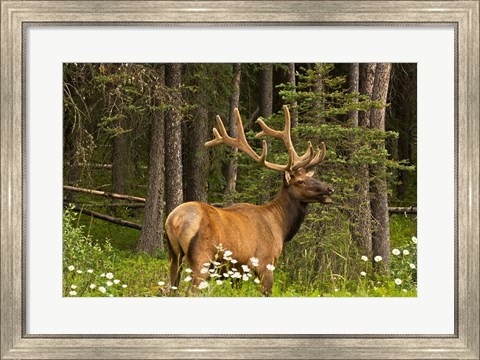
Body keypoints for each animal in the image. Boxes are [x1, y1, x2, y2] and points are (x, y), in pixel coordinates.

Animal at [165, 105, 334, 296]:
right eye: (300, 181)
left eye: (310, 177)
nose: (329, 189)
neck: (280, 226)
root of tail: (174, 221)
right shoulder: (265, 263)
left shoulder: (237, 272)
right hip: (202, 258)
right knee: (191, 291)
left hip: (174, 256)